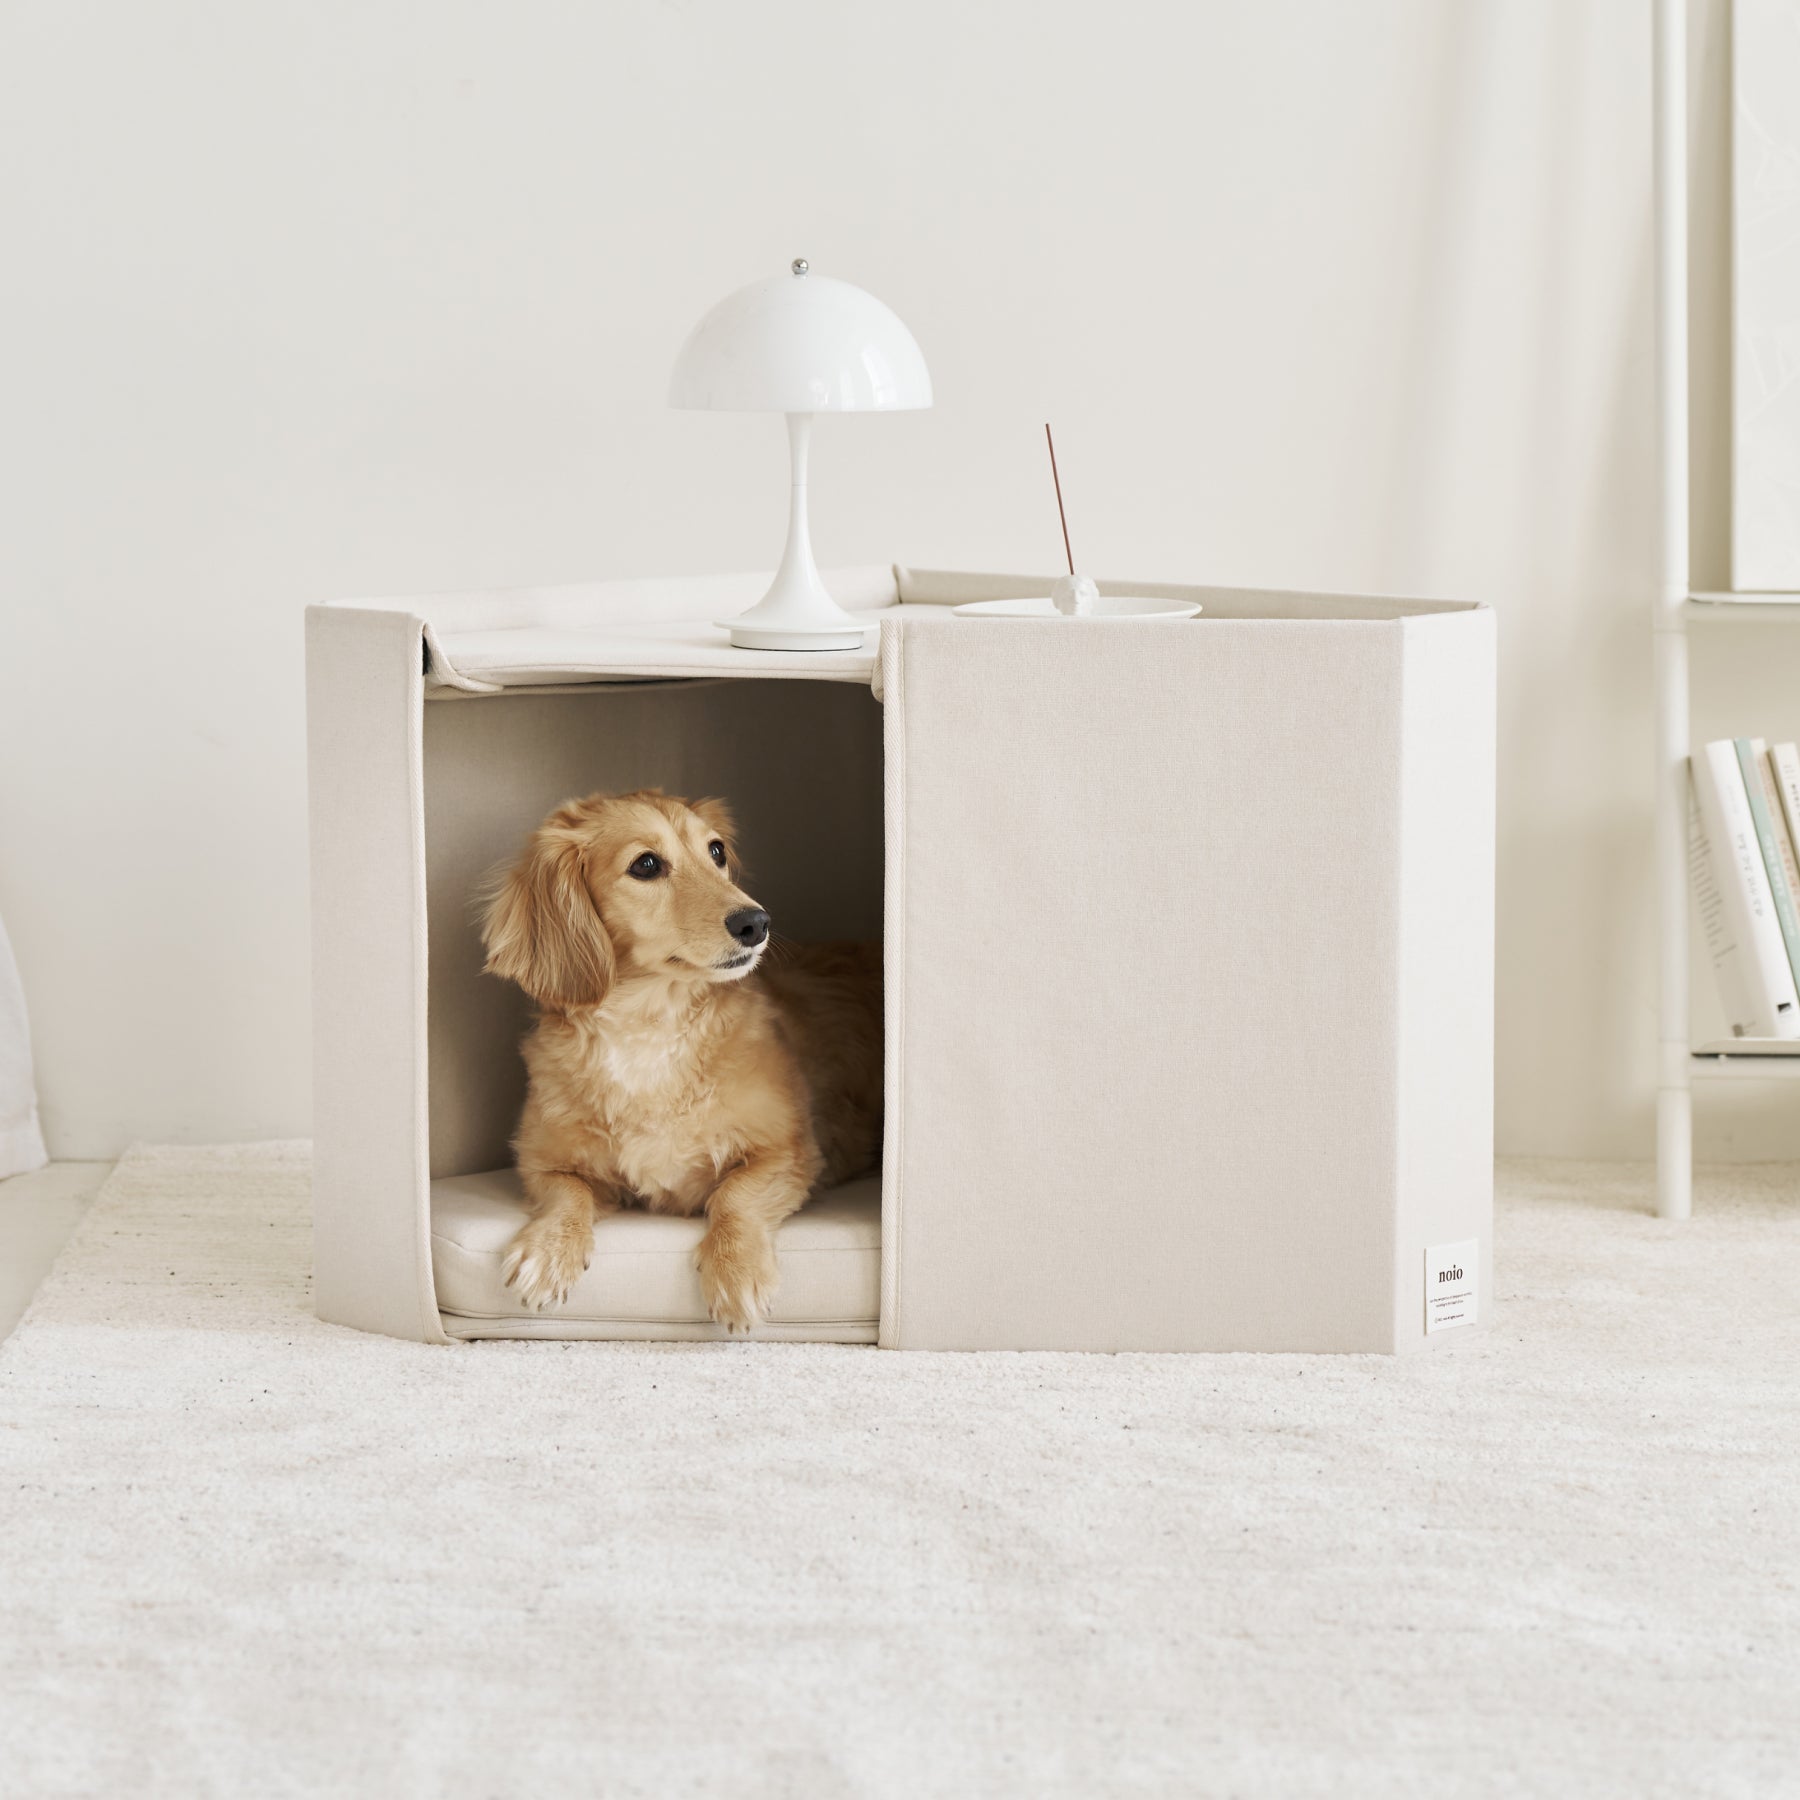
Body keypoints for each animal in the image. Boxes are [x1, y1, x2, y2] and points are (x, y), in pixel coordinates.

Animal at [475, 795, 874, 1332]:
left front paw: (736, 1270)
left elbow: (734, 1196)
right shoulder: (541, 1163)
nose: (756, 923)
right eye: (646, 864)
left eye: (716, 851)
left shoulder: (790, 1153)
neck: (649, 1028)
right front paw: (549, 1248)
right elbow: (567, 1194)